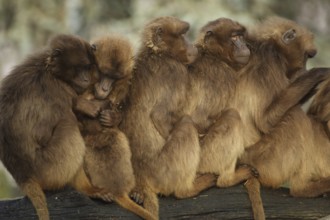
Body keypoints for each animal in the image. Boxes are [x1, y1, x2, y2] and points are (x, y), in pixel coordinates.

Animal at [0, 34, 95, 220]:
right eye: (79, 68)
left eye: (87, 68)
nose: (86, 79)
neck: (49, 70)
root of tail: (24, 177)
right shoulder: (59, 89)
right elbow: (46, 130)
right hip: (49, 169)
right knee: (68, 122)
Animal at [120, 16, 218, 218]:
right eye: (182, 35)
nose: (191, 45)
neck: (158, 54)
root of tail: (142, 176)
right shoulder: (176, 71)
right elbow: (159, 115)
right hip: (163, 171)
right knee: (187, 124)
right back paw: (187, 190)